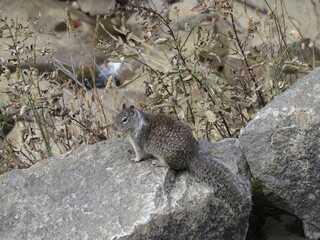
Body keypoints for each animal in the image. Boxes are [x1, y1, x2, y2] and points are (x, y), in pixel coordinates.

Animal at [112, 104, 250, 235]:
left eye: (124, 119)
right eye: (115, 116)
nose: (114, 127)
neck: (136, 124)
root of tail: (190, 157)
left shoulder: (138, 142)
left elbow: (140, 154)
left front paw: (134, 159)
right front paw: (130, 151)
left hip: (166, 155)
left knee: (172, 167)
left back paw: (158, 162)